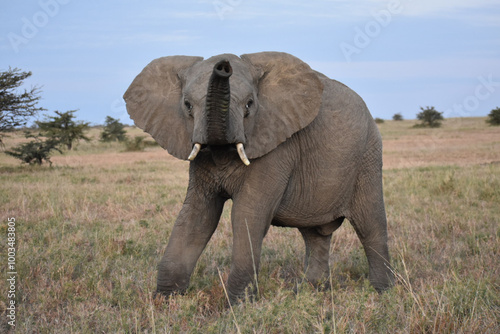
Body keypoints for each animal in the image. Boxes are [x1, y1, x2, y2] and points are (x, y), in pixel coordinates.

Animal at [124, 51, 394, 302]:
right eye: (188, 105)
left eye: (249, 104)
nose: (223, 65)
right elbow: (197, 216)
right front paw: (164, 301)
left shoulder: (277, 146)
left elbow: (247, 214)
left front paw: (236, 306)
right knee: (314, 235)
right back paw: (309, 293)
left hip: (368, 156)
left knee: (370, 226)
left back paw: (384, 293)